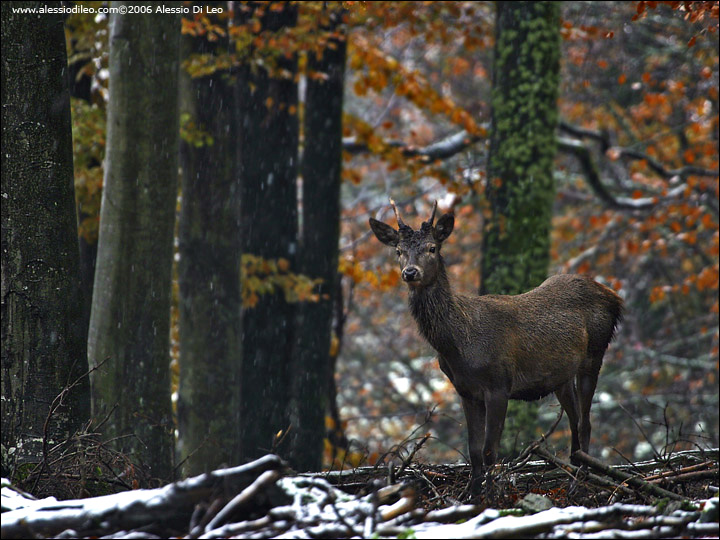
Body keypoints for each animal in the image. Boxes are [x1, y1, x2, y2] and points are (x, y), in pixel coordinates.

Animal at [368, 200, 620, 492]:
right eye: (398, 251)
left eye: (432, 248)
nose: (410, 272)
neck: (460, 344)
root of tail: (615, 297)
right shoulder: (466, 390)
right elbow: (474, 450)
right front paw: (473, 492)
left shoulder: (499, 383)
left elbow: (490, 450)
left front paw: (492, 494)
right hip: (562, 376)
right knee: (575, 419)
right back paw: (574, 470)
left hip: (595, 353)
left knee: (586, 421)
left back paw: (581, 481)